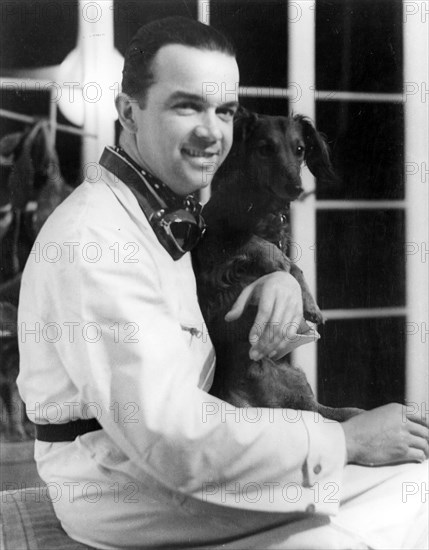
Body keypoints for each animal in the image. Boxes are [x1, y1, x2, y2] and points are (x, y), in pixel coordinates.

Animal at [192, 111, 362, 422]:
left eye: (300, 149)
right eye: (264, 148)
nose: (297, 188)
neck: (258, 207)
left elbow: (296, 269)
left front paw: (310, 304)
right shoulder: (212, 250)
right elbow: (260, 245)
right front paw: (279, 263)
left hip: (299, 383)